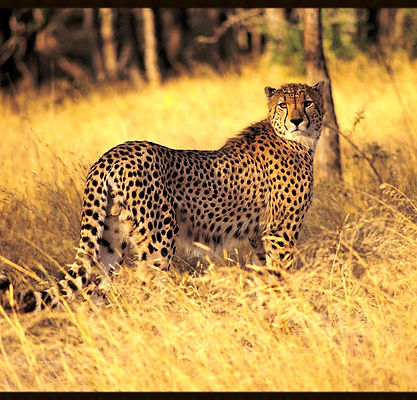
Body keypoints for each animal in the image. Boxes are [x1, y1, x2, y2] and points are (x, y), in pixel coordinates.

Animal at [0, 81, 324, 312]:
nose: (297, 120)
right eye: (283, 105)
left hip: (108, 240)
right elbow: (280, 276)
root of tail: (112, 153)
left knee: (93, 290)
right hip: (158, 239)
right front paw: (285, 318)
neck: (297, 141)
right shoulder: (280, 232)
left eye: (307, 103)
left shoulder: (259, 235)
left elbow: (265, 277)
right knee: (146, 292)